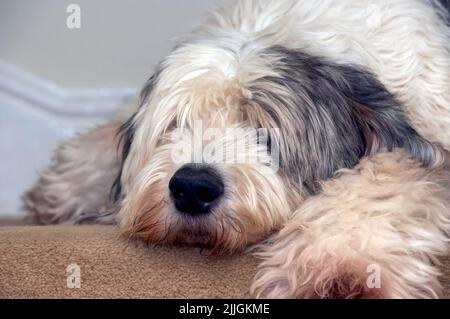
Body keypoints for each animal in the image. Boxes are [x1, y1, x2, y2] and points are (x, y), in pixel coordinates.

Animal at [23, 0, 450, 300]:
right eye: (176, 124)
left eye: (266, 130)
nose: (192, 187)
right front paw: (61, 193)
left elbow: (388, 173)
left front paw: (340, 269)